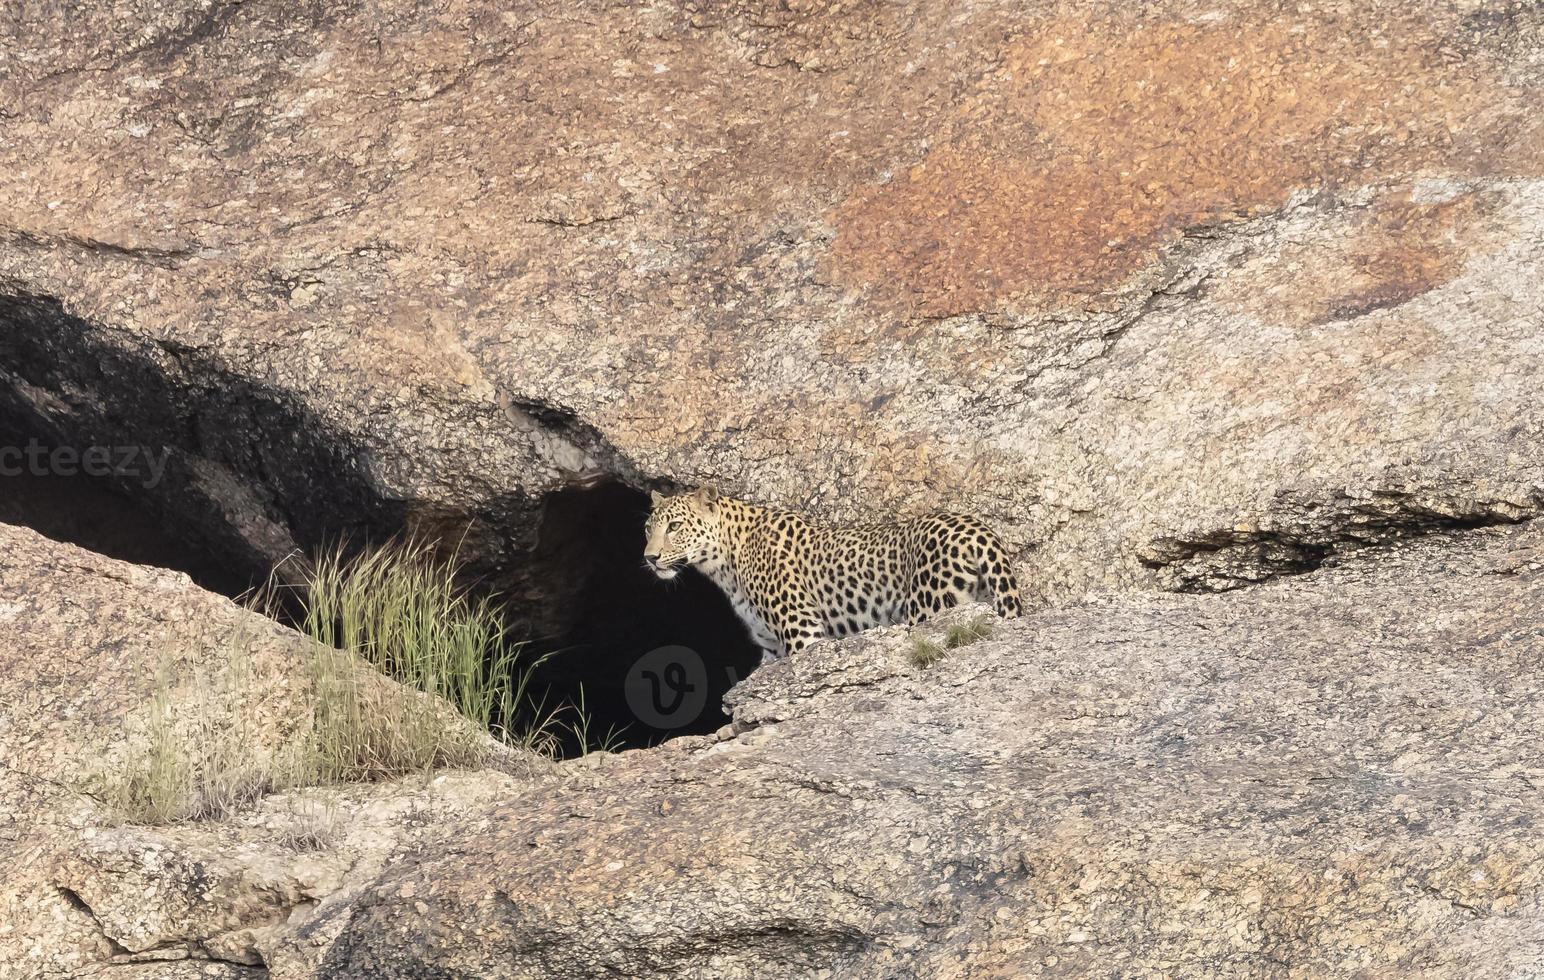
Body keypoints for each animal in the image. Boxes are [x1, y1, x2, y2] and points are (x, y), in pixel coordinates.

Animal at [642, 487, 1025, 663]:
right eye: (648, 528)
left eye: (675, 527)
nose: (649, 558)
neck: (726, 563)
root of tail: (978, 529)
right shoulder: (770, 648)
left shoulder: (803, 631)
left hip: (929, 606)